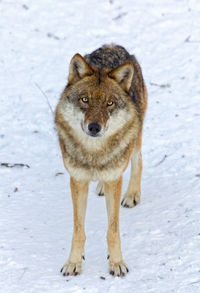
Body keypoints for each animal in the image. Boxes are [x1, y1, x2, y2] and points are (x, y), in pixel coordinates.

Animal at [54, 44, 147, 274]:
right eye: (84, 99)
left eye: (109, 103)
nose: (94, 127)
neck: (94, 155)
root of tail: (114, 45)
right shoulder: (78, 180)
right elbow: (78, 229)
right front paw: (73, 263)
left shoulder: (114, 179)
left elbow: (112, 230)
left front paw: (117, 263)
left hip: (135, 136)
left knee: (137, 161)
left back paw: (132, 195)